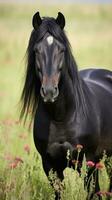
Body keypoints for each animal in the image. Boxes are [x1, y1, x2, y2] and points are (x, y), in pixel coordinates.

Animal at [20, 12, 112, 198]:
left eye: (61, 50)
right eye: (36, 51)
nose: (49, 91)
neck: (62, 117)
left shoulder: (89, 162)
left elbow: (93, 192)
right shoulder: (50, 166)